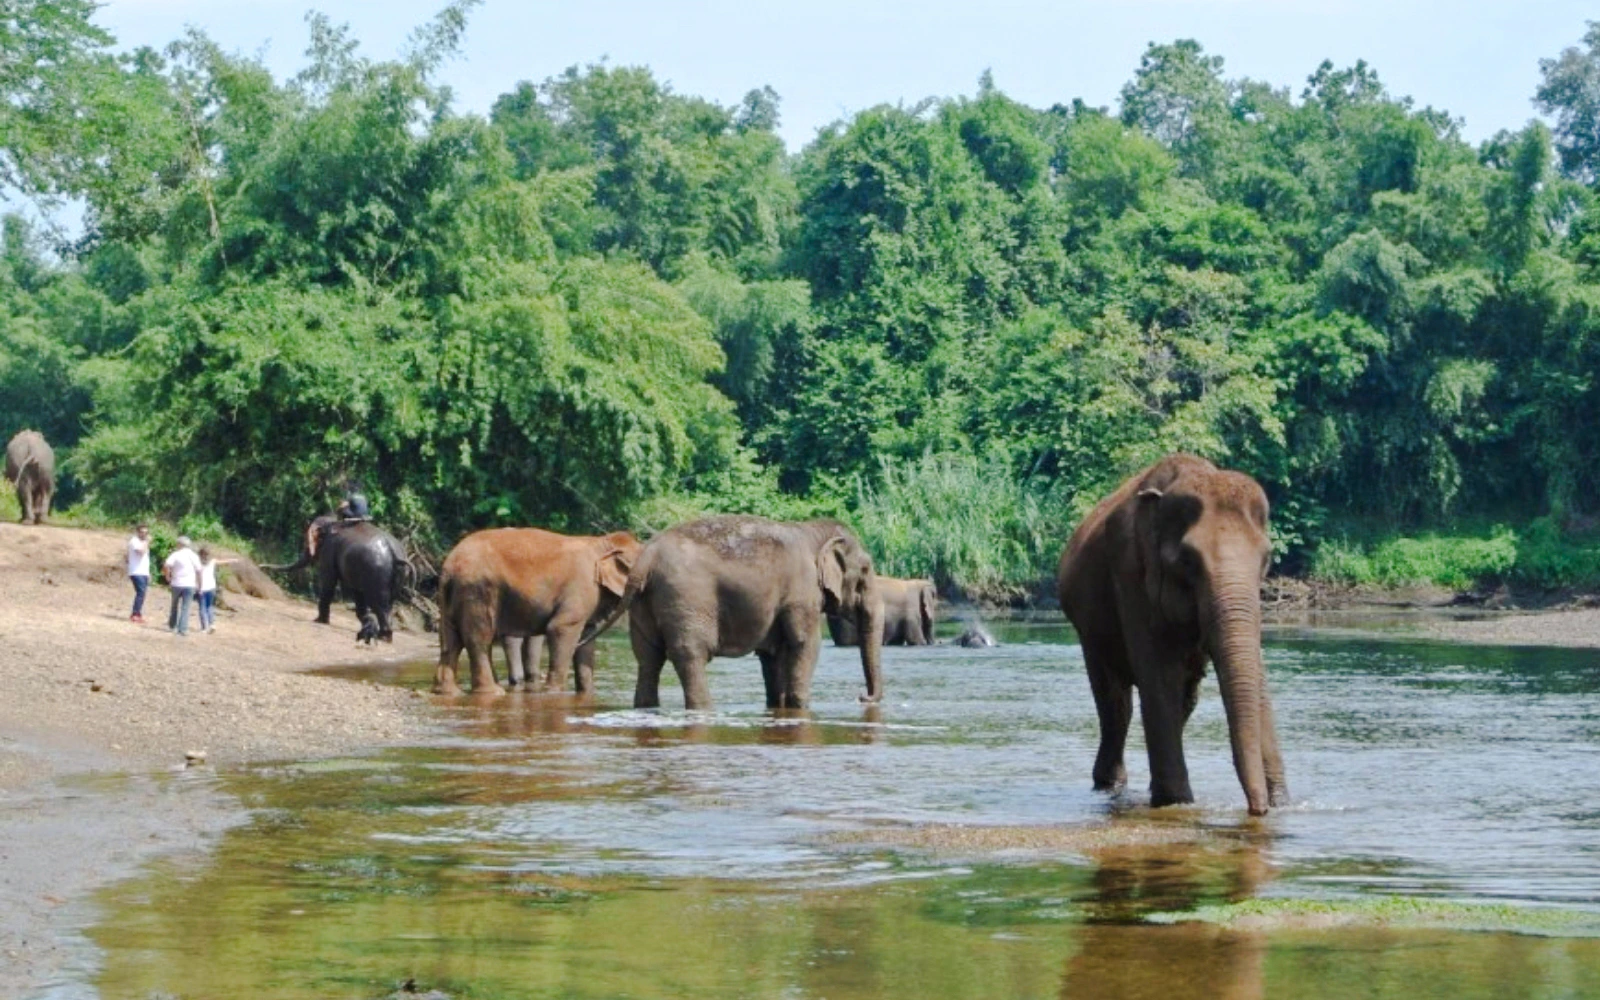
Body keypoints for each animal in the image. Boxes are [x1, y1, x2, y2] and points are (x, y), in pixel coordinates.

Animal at [264, 515, 412, 644]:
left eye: (307, 542)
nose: (262, 566)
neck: (331, 522)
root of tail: (395, 553)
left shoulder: (329, 550)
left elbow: (328, 583)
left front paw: (319, 621)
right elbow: (357, 593)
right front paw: (365, 620)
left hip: (377, 572)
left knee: (380, 603)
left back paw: (383, 637)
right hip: (398, 574)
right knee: (389, 602)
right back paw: (383, 636)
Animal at [434, 528, 641, 696]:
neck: (602, 543)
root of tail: (448, 565)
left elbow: (586, 641)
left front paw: (587, 694)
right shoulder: (582, 587)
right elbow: (560, 628)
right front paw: (553, 693)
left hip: (456, 594)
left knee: (451, 640)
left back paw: (448, 692)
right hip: (478, 590)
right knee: (479, 639)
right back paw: (493, 692)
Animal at [583, 516, 883, 711]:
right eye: (866, 571)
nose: (861, 697)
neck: (814, 532)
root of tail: (646, 558)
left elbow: (774, 654)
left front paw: (778, 705)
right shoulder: (802, 591)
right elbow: (805, 643)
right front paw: (800, 706)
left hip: (643, 604)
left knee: (648, 657)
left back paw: (646, 707)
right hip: (687, 597)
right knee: (690, 654)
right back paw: (704, 708)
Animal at [1057, 454, 1288, 816]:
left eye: (1265, 560)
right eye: (1188, 561)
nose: (1258, 810)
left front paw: (1283, 803)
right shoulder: (1129, 573)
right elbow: (1158, 675)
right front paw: (1176, 801)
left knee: (1184, 697)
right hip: (1088, 629)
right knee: (1115, 704)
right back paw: (1110, 785)